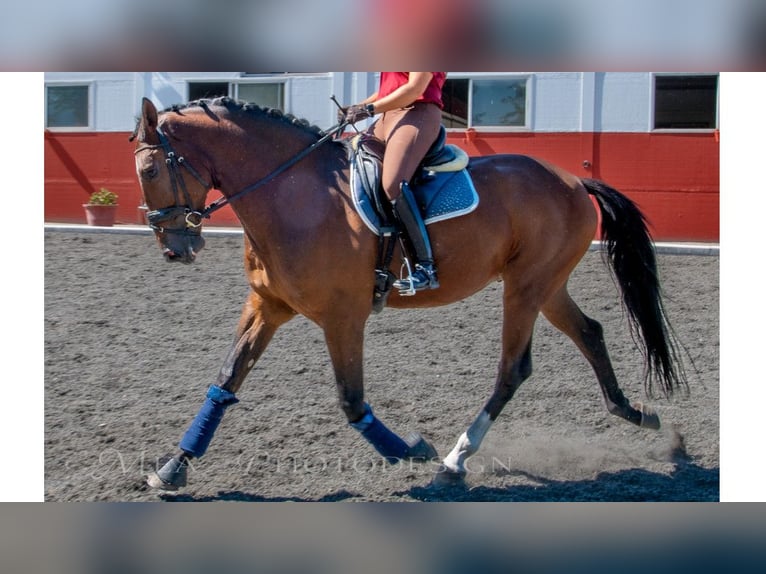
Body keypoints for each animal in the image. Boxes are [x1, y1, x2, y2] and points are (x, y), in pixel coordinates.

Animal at [132, 97, 688, 492]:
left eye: (150, 170)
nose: (176, 249)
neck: (294, 195)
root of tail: (573, 180)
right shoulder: (267, 306)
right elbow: (225, 380)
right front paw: (173, 466)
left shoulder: (343, 315)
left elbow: (351, 400)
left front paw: (412, 450)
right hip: (545, 285)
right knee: (590, 333)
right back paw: (642, 417)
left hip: (526, 288)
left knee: (513, 369)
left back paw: (455, 459)